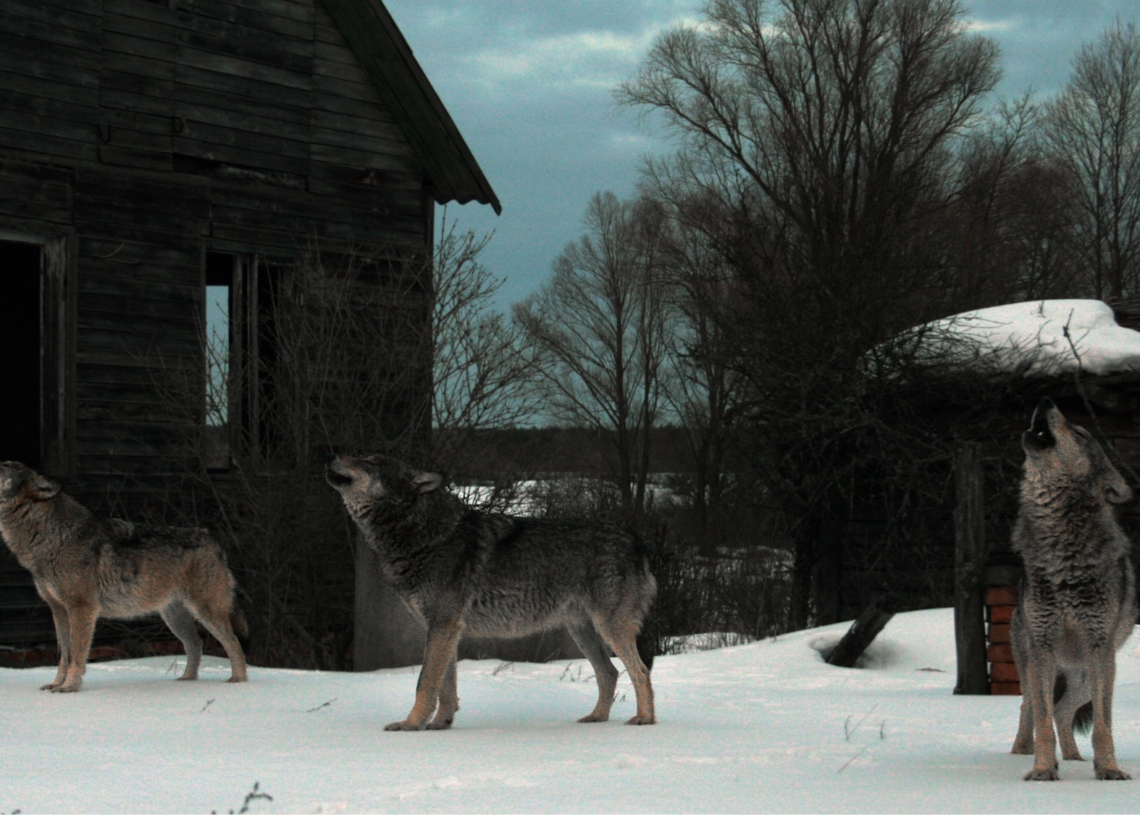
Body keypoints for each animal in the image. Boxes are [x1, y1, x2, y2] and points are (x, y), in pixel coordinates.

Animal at [0, 461, 249, 692]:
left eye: (3, 466)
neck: (49, 535)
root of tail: (213, 541)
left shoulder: (82, 609)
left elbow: (76, 655)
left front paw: (69, 688)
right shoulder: (59, 610)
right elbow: (63, 655)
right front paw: (56, 685)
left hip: (206, 612)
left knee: (234, 642)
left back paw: (238, 681)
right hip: (174, 618)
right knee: (196, 643)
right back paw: (187, 680)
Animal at [327, 454, 657, 730]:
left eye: (370, 461)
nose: (332, 456)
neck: (425, 535)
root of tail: (636, 539)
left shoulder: (443, 625)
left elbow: (425, 682)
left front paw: (411, 725)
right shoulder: (444, 629)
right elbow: (445, 685)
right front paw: (440, 724)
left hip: (609, 628)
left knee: (640, 670)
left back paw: (644, 719)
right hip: (582, 631)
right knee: (609, 673)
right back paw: (596, 718)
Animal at [1009, 399, 1137, 780]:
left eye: (1079, 433)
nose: (1046, 401)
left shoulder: (1100, 650)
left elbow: (1103, 726)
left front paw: (1108, 770)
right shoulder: (1043, 648)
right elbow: (1042, 722)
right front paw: (1041, 771)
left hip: (1085, 677)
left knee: (1063, 711)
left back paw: (1076, 760)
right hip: (1035, 665)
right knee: (1030, 708)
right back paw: (1022, 753)